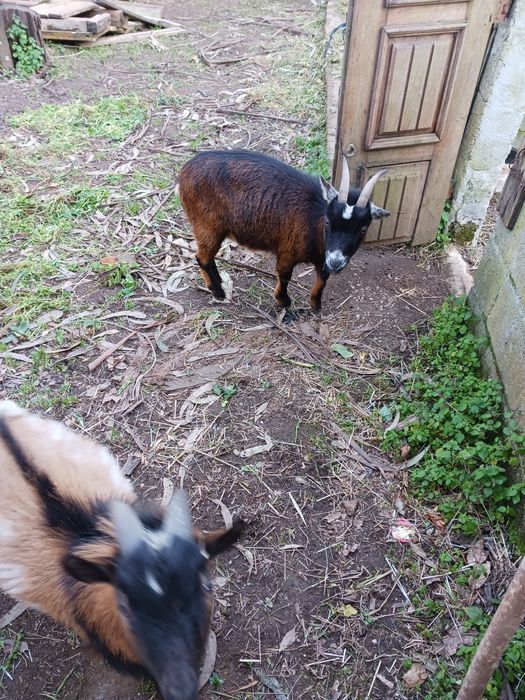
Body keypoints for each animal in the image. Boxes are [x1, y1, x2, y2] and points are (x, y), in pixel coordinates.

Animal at [177, 150, 390, 311]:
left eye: (363, 228)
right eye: (328, 222)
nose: (336, 262)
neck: (313, 219)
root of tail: (185, 171)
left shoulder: (323, 257)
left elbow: (323, 278)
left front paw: (316, 305)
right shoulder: (288, 249)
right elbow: (285, 275)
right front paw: (284, 302)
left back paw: (219, 284)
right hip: (206, 226)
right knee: (202, 257)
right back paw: (218, 292)